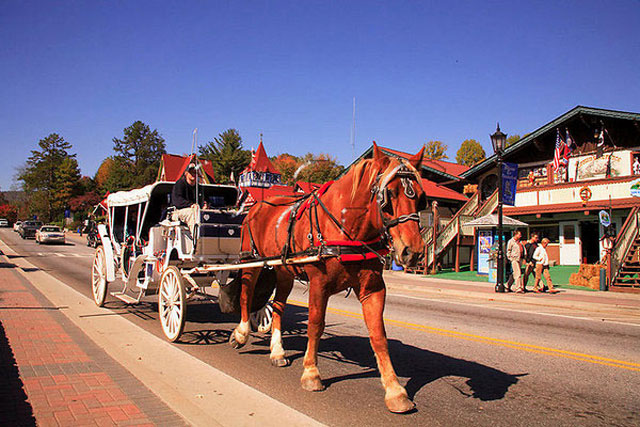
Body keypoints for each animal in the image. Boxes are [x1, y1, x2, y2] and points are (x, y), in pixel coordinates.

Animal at [229, 143, 426, 413]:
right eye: (389, 196)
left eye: (420, 198)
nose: (412, 251)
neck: (348, 228)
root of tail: (257, 206)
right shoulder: (319, 284)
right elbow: (315, 325)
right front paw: (311, 373)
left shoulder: (373, 288)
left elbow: (378, 335)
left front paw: (394, 390)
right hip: (251, 262)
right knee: (246, 296)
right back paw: (241, 333)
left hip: (283, 272)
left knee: (278, 306)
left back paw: (277, 351)